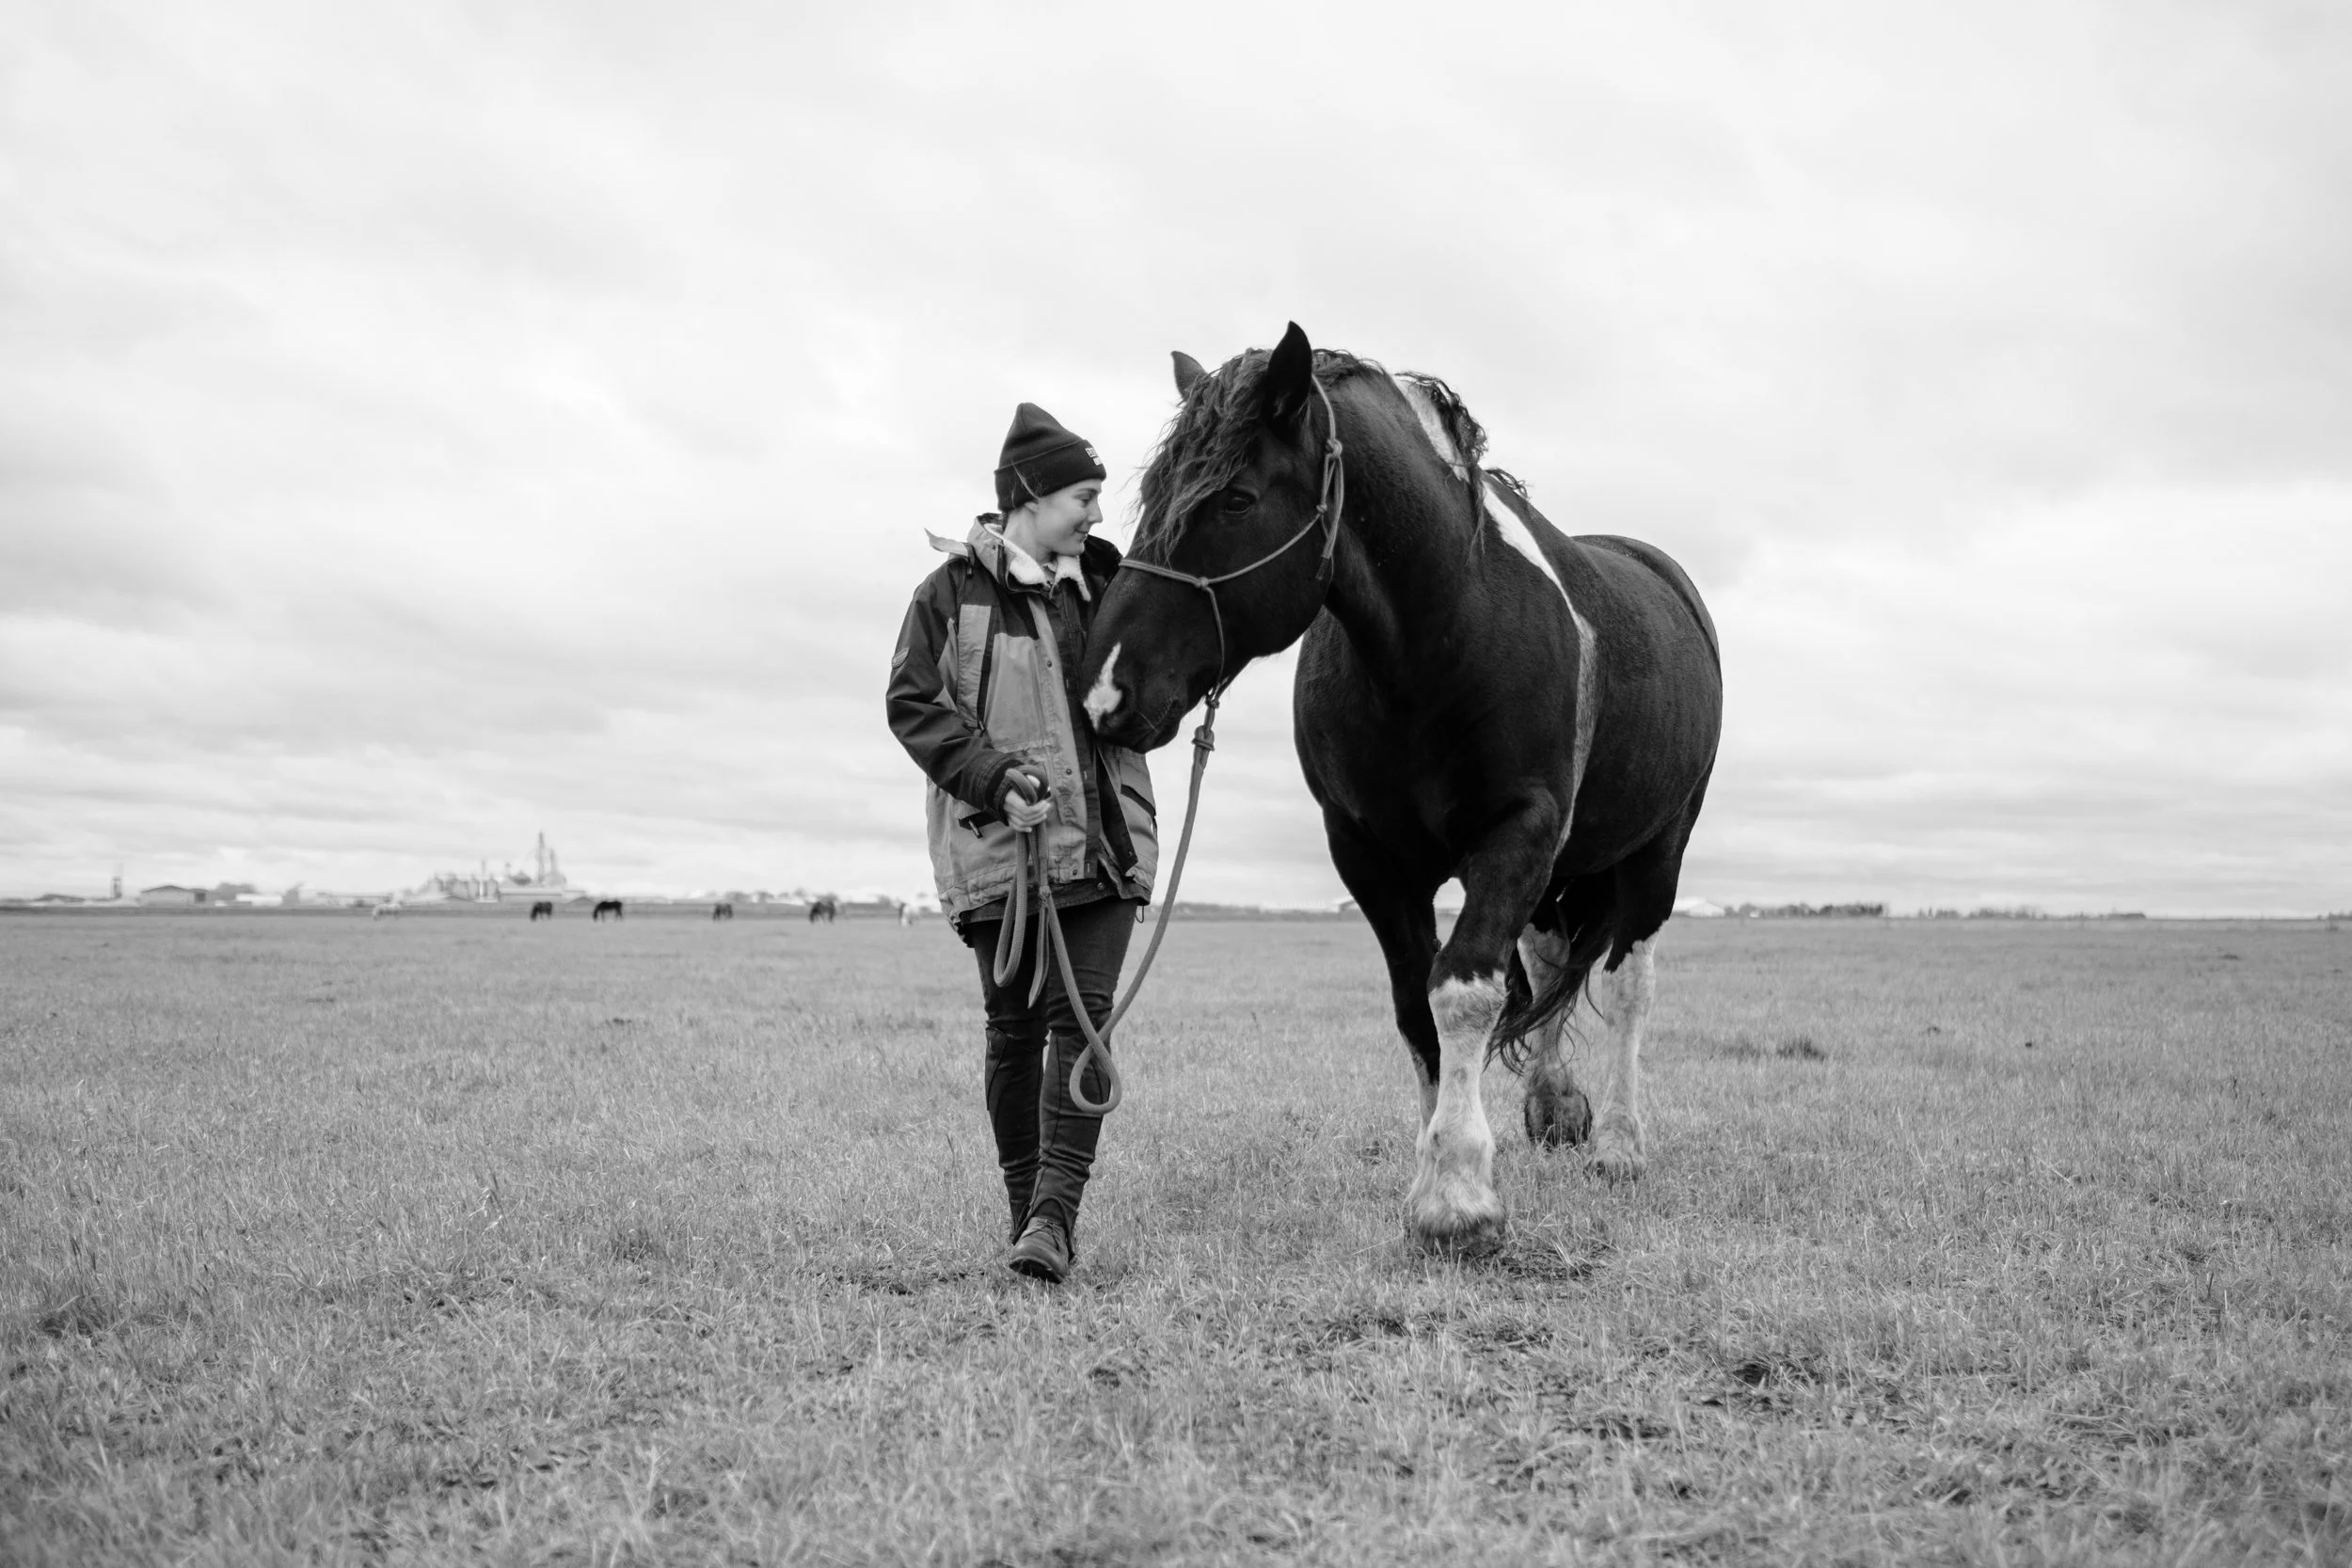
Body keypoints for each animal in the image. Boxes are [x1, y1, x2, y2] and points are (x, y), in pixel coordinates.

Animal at [1079, 324, 1721, 1255]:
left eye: (1235, 498)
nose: (1104, 693)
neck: (1447, 630)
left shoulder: (1518, 831)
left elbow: (1462, 990)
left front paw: (1458, 1195)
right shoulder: (1372, 857)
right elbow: (1419, 1006)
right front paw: (1436, 1172)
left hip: (1656, 849)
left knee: (1629, 980)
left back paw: (1619, 1143)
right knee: (1553, 960)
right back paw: (1556, 1107)